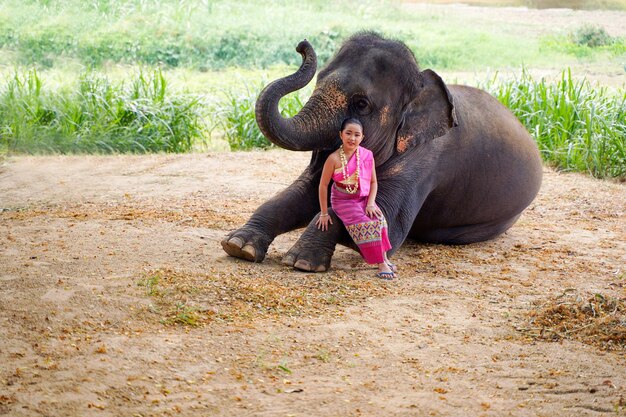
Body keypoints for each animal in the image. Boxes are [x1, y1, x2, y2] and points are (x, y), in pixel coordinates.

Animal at [221, 33, 540, 272]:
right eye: (318, 80)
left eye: (361, 104)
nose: (301, 45)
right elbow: (302, 194)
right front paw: (239, 247)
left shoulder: (425, 162)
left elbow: (384, 223)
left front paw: (301, 262)